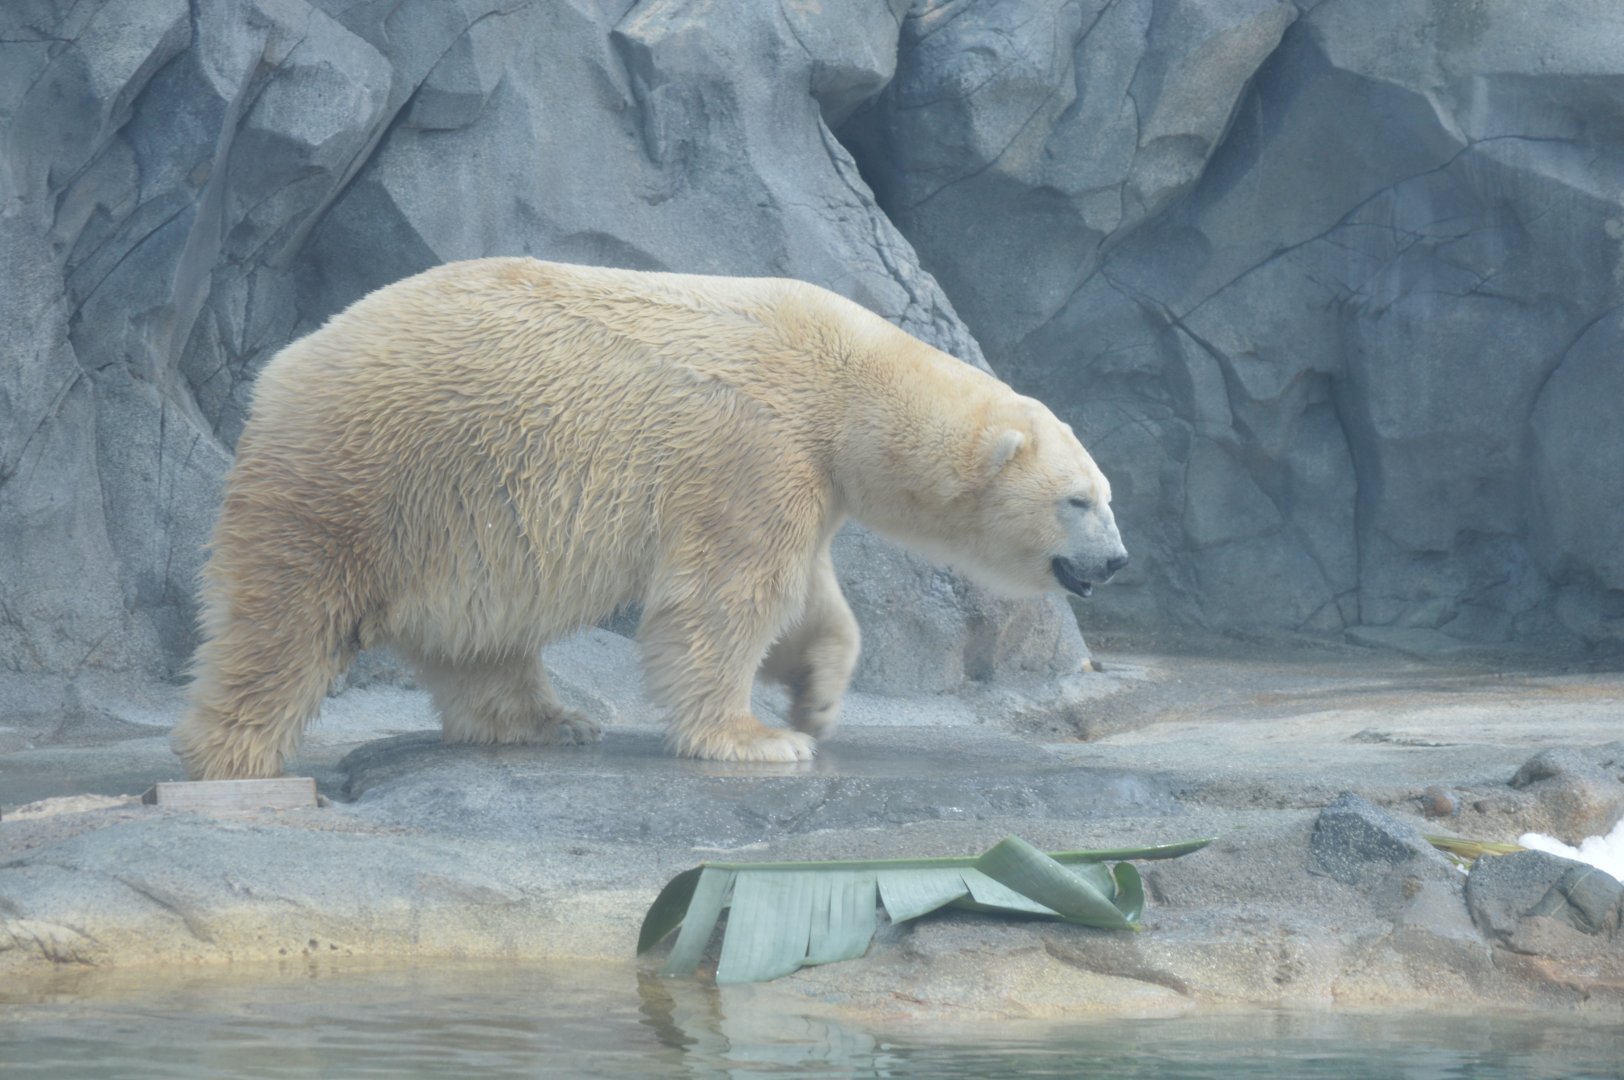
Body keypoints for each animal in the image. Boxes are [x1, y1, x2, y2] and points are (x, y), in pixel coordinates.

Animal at [173, 258, 1128, 779]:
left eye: (1109, 495)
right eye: (1077, 500)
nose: (1117, 561)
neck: (846, 377)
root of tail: (286, 367)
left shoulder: (805, 473)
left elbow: (810, 598)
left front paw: (817, 698)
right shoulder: (754, 442)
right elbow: (724, 598)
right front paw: (757, 739)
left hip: (457, 510)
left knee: (480, 635)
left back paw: (547, 720)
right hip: (362, 468)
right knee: (283, 617)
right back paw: (233, 758)